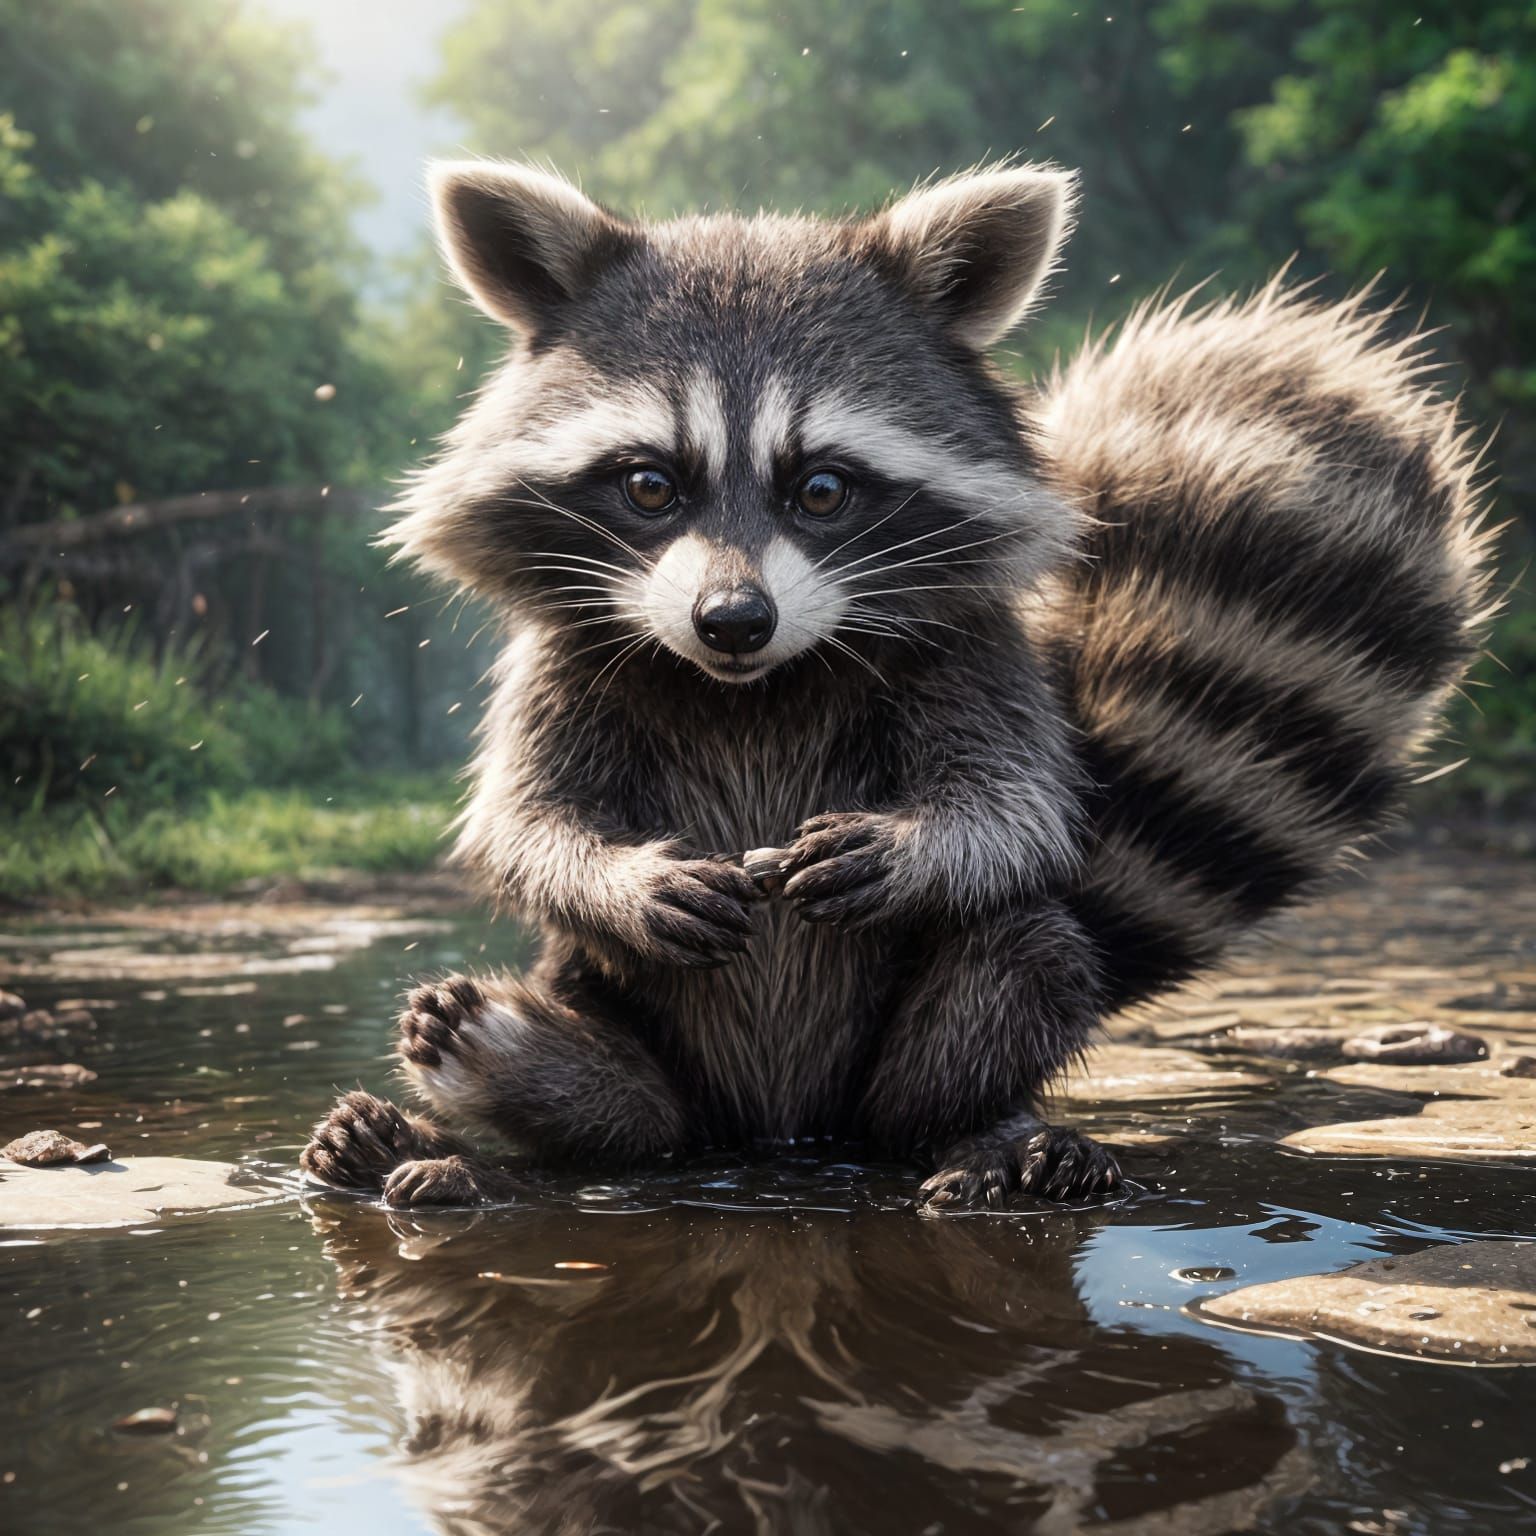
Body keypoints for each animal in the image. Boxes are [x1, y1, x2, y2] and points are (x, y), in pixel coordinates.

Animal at [302, 159, 1491, 1210]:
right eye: (648, 485)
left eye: (823, 489)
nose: (733, 621)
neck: (755, 684)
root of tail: (776, 1132)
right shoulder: (565, 659)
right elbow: (527, 821)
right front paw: (620, 878)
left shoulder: (969, 651)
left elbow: (1018, 808)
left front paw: (915, 846)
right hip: (634, 1037)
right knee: (609, 1105)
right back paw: (468, 1115)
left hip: (911, 1057)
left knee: (1020, 957)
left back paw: (984, 1134)